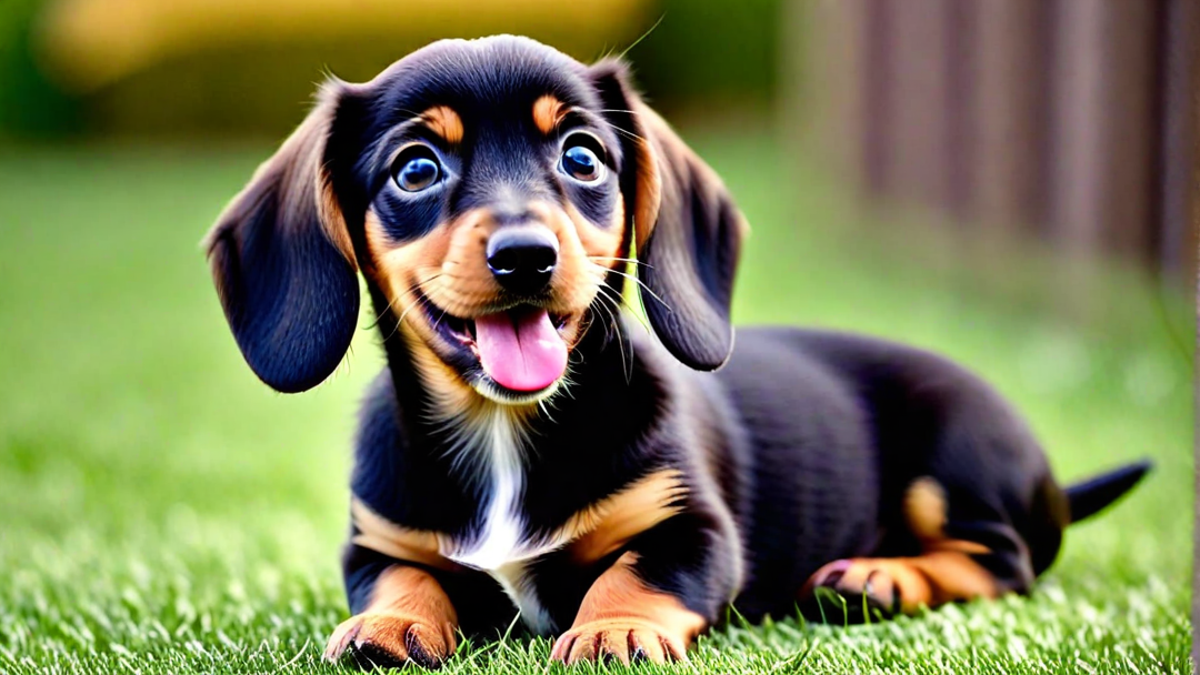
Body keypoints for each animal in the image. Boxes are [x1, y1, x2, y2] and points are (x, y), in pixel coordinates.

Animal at [201, 34, 1147, 662]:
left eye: (582, 156)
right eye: (416, 169)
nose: (526, 255)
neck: (506, 429)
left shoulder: (695, 529)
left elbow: (637, 571)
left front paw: (612, 627)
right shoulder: (379, 541)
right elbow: (407, 575)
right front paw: (387, 623)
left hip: (954, 465)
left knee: (1002, 558)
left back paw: (878, 576)